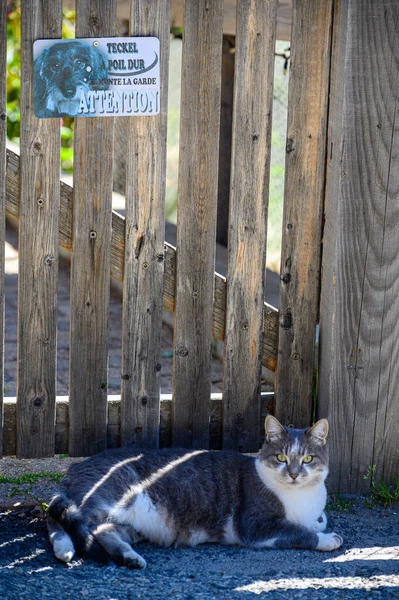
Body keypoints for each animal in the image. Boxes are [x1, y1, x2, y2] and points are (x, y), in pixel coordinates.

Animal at [47, 418, 344, 568]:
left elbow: (318, 520)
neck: (303, 498)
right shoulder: (256, 526)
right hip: (112, 497)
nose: (293, 474)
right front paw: (327, 538)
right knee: (76, 522)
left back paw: (125, 557)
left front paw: (319, 524)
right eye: (281, 457)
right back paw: (70, 548)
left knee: (98, 528)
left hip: (132, 525)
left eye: (307, 459)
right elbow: (298, 532)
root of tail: (76, 466)